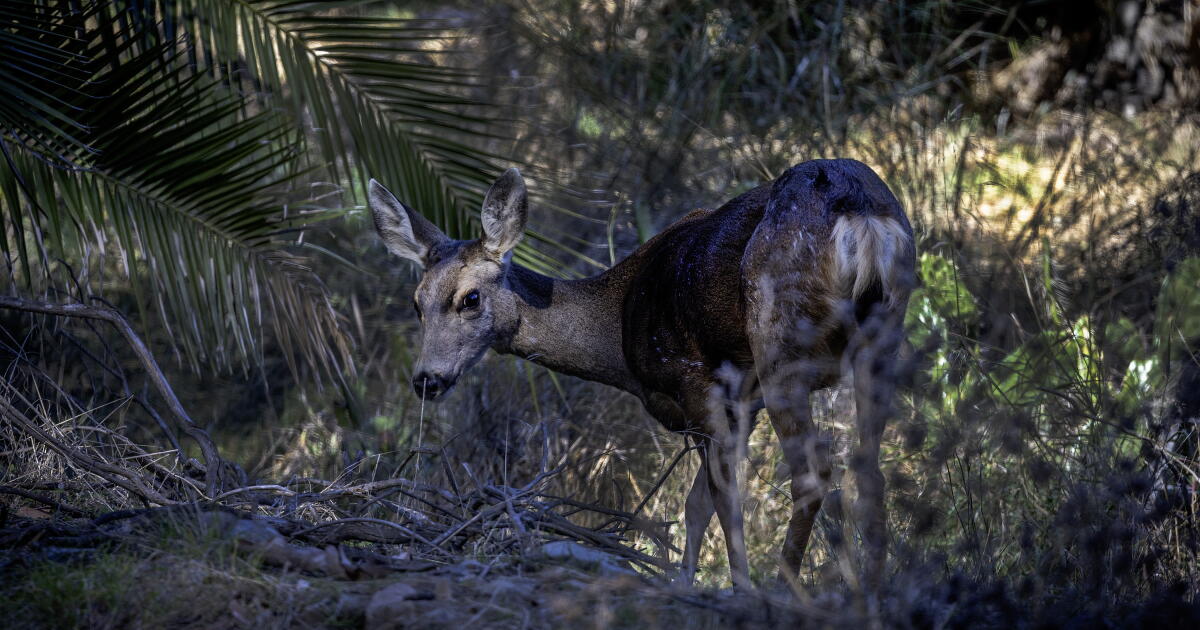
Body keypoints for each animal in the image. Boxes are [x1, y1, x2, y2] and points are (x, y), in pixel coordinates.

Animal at [368, 158, 915, 588]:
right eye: (416, 303)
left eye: (471, 298)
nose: (426, 379)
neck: (617, 331)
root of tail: (862, 213)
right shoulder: (741, 402)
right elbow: (696, 505)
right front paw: (686, 580)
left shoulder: (697, 382)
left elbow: (719, 497)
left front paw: (733, 587)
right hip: (884, 335)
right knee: (869, 467)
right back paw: (874, 588)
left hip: (780, 340)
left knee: (812, 473)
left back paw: (783, 590)